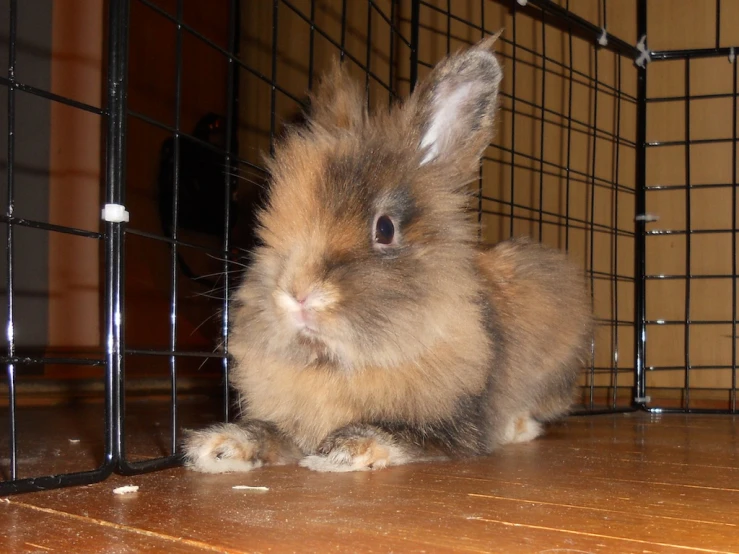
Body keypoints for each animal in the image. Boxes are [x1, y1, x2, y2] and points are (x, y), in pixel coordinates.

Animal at [182, 32, 592, 472]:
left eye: (385, 229)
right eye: (268, 221)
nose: (297, 294)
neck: (338, 364)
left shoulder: (453, 429)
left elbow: (398, 434)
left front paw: (342, 450)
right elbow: (272, 432)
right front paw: (219, 446)